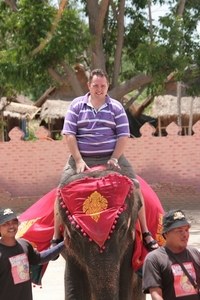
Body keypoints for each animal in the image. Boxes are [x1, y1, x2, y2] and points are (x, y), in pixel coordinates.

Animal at [57, 166, 146, 300]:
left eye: (122, 228)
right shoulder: (70, 248)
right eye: (76, 234)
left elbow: (124, 287)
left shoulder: (131, 242)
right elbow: (74, 288)